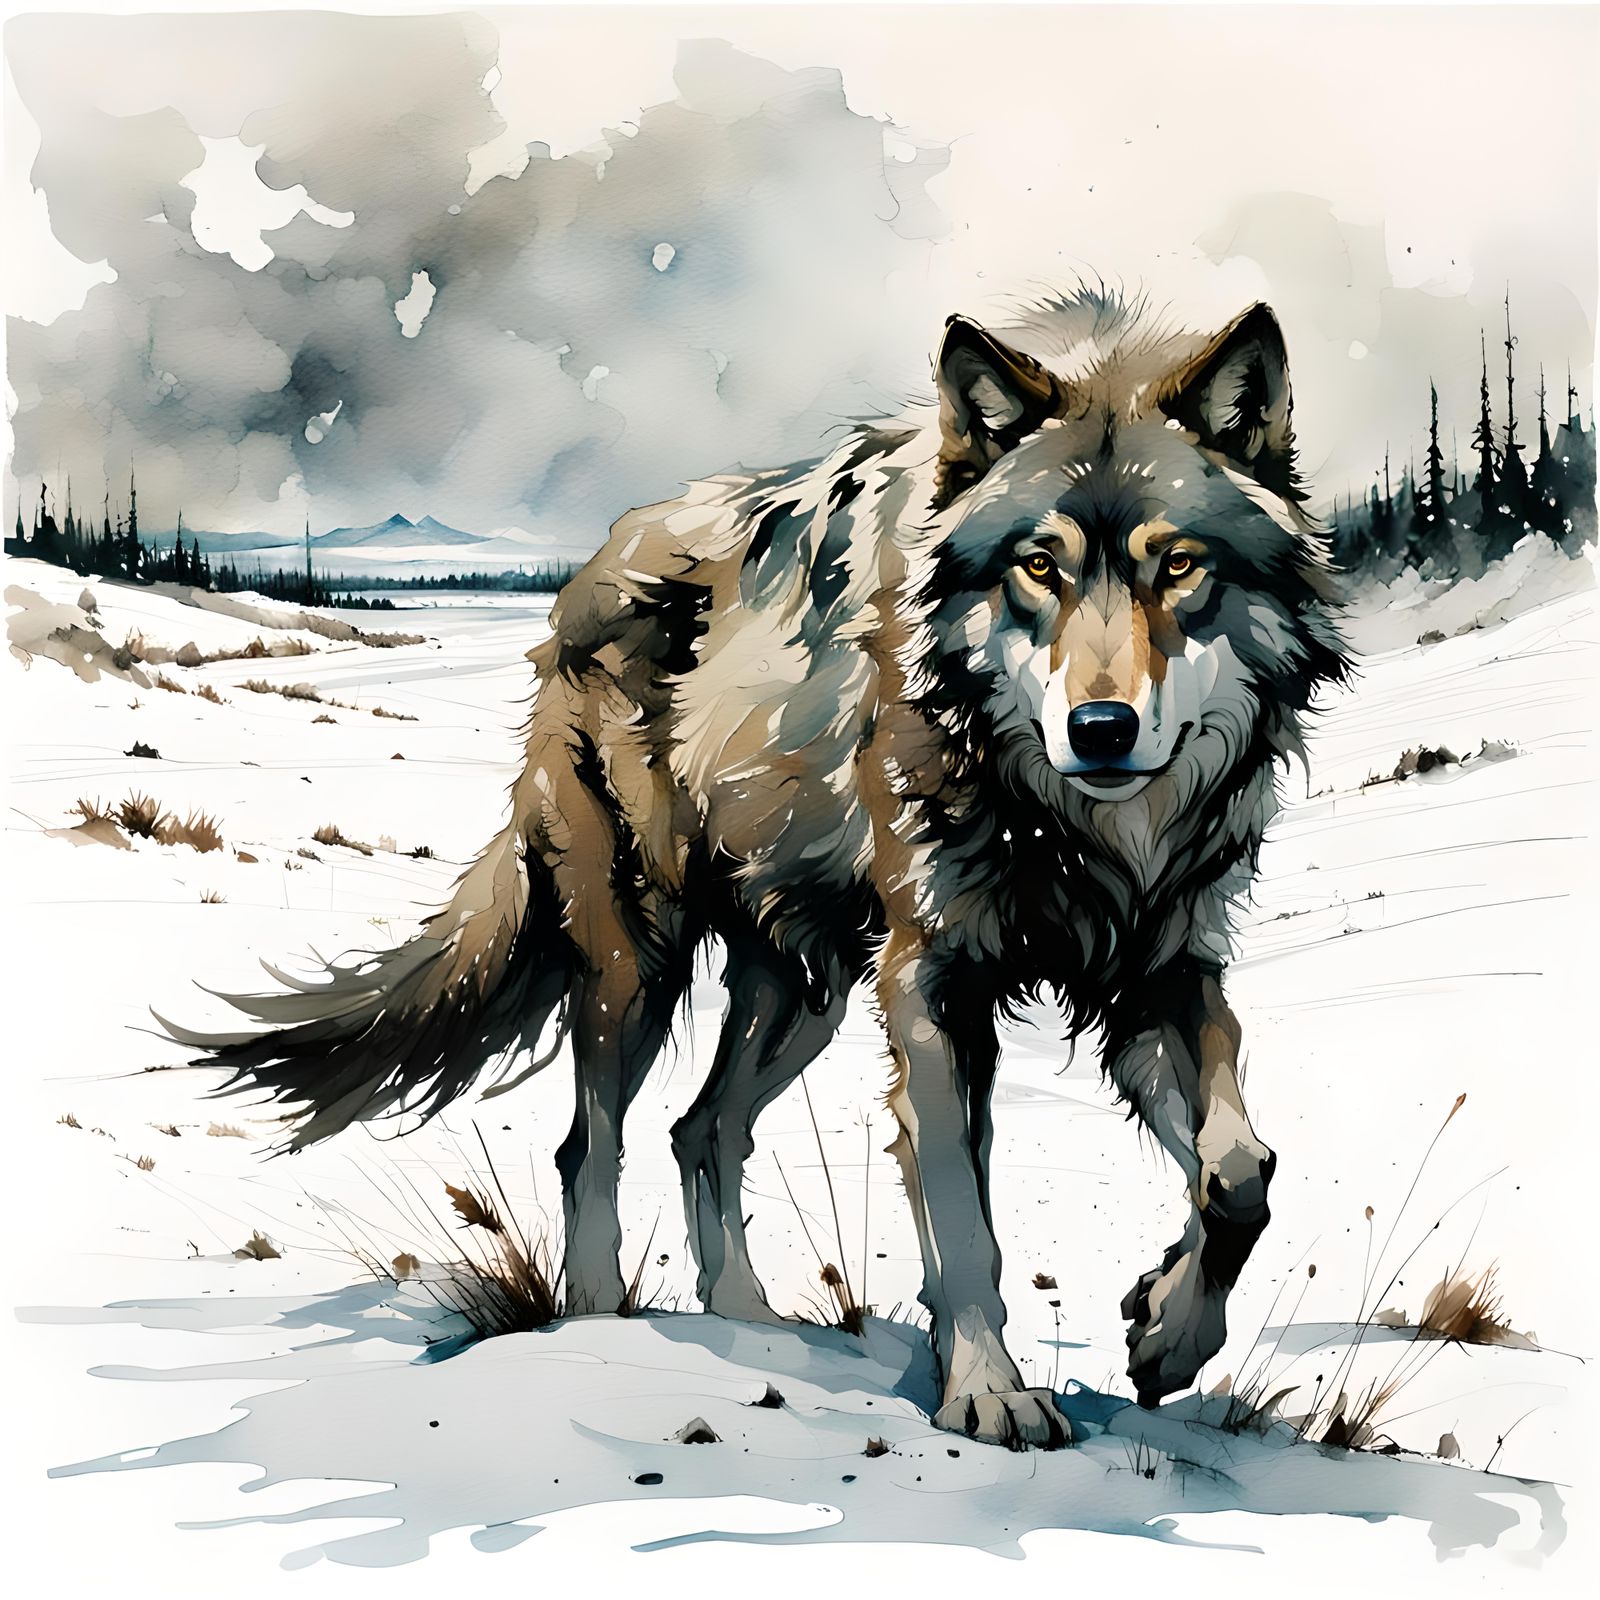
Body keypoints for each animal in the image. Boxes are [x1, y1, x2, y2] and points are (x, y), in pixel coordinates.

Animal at [163, 286, 1347, 1450]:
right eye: (1039, 567)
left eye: (1177, 566)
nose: (1101, 730)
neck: (1074, 824)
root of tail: (583, 577)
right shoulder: (933, 983)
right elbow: (963, 1218)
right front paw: (989, 1395)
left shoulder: (1158, 967)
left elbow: (1241, 1173)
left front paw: (1166, 1334)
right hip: (636, 969)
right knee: (590, 1145)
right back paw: (598, 1324)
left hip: (806, 989)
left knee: (702, 1128)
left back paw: (751, 1323)